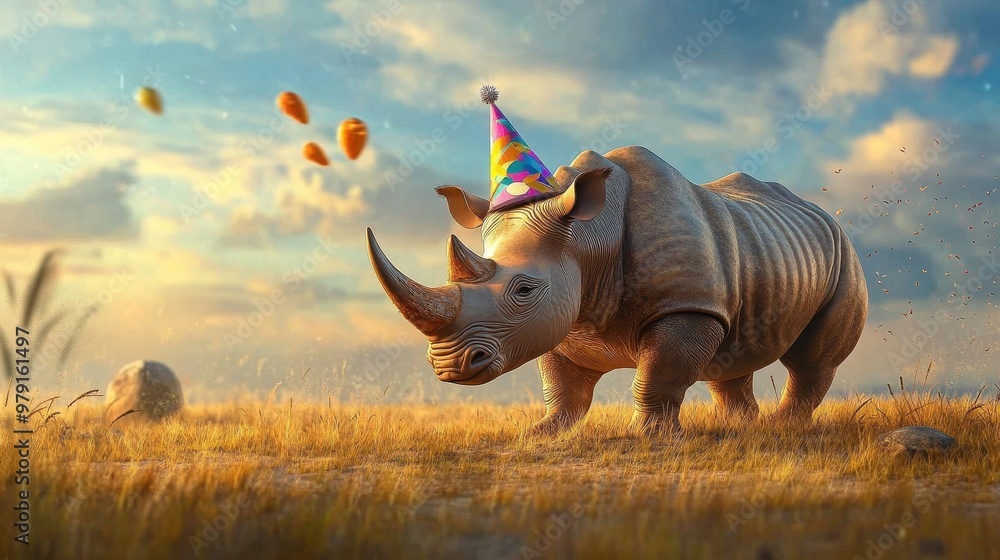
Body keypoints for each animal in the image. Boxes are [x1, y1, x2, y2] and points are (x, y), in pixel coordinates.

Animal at [367, 146, 867, 434]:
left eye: (523, 289)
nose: (449, 367)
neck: (588, 237)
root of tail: (821, 214)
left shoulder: (685, 306)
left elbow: (659, 373)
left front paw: (647, 436)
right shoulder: (563, 315)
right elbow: (562, 385)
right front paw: (543, 433)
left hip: (845, 257)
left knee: (811, 360)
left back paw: (784, 428)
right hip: (764, 252)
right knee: (729, 356)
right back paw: (746, 429)